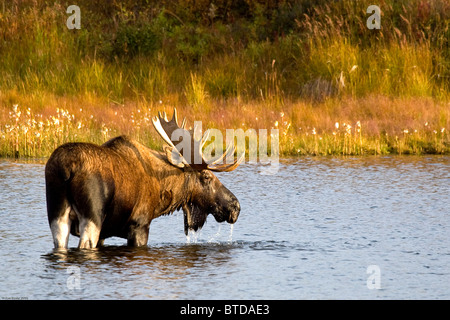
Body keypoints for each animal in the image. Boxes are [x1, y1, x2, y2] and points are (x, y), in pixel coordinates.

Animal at [44, 109, 243, 249]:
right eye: (206, 176)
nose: (235, 206)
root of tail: (66, 169)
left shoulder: (105, 234)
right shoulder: (139, 225)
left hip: (57, 214)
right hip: (92, 217)